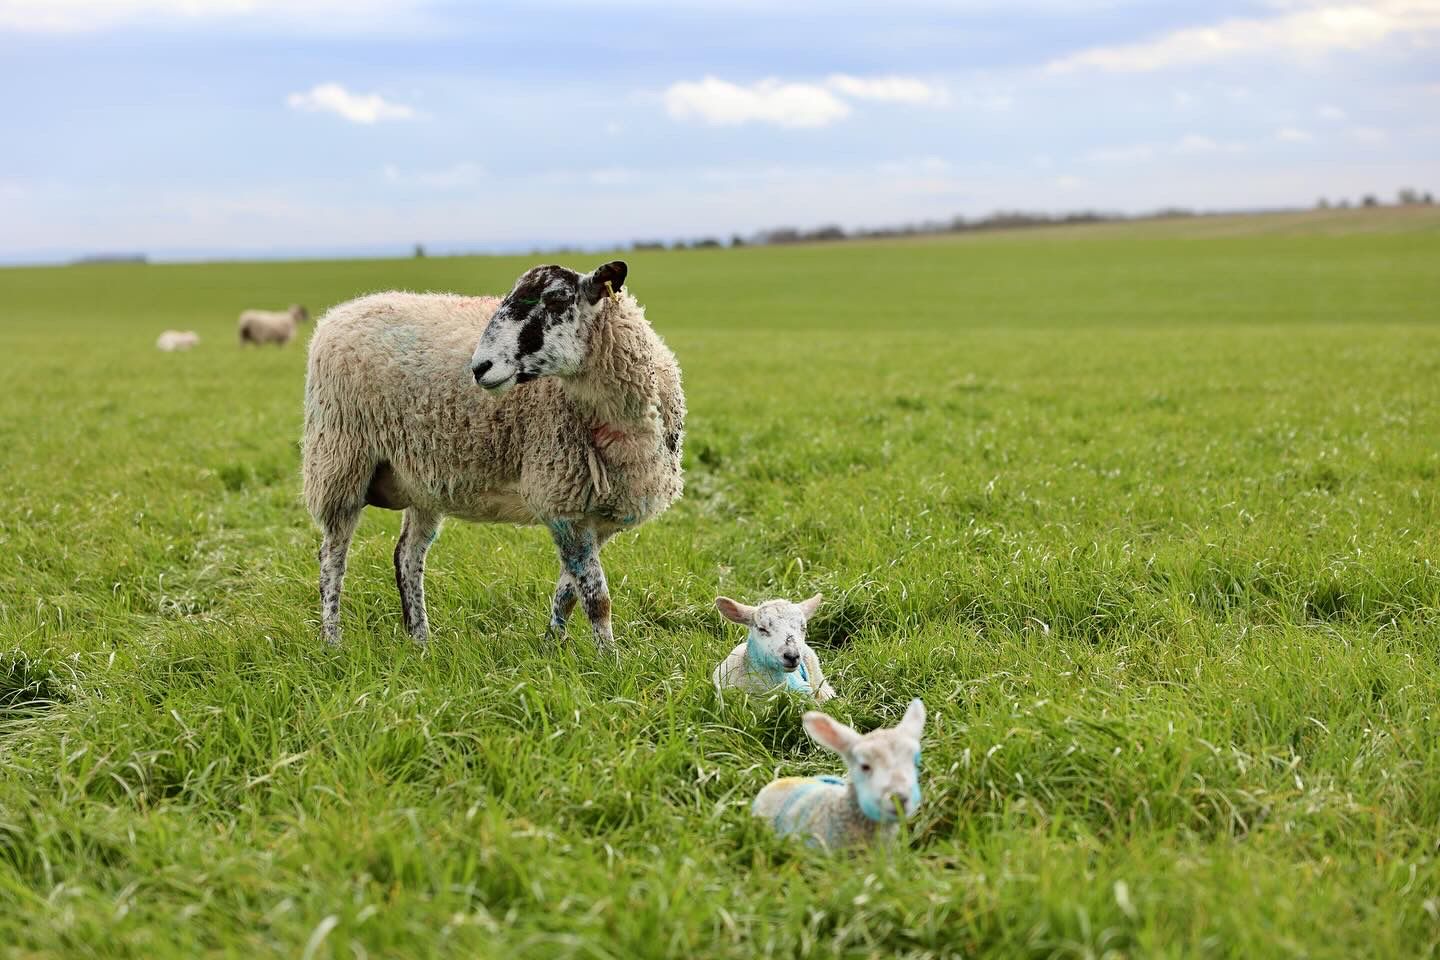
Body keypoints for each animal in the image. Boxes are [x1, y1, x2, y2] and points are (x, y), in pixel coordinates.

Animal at [301, 261, 685, 650]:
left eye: (557, 299)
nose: (479, 367)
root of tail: (342, 311)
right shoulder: (561, 502)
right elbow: (597, 599)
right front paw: (607, 657)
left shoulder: (597, 516)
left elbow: (569, 591)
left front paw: (553, 647)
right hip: (340, 459)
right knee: (332, 557)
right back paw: (332, 640)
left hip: (420, 479)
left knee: (408, 556)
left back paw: (421, 641)